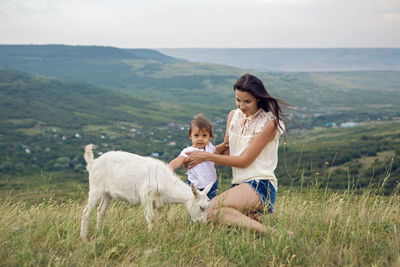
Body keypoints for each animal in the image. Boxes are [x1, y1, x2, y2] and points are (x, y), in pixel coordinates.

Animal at [80, 146, 212, 242]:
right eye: (201, 207)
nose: (202, 225)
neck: (164, 181)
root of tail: (92, 163)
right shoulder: (146, 197)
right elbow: (150, 218)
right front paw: (151, 236)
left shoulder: (159, 203)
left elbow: (160, 219)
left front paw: (160, 233)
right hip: (95, 189)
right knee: (86, 212)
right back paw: (84, 238)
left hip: (107, 194)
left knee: (101, 211)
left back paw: (99, 234)